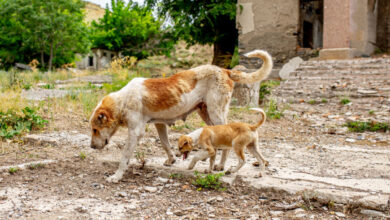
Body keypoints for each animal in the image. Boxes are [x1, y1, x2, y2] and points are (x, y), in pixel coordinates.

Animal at [90, 49, 272, 182]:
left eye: (94, 130)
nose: (91, 147)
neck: (124, 99)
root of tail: (225, 70)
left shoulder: (135, 132)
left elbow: (125, 156)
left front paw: (116, 176)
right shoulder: (159, 124)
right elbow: (165, 143)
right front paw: (171, 160)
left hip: (216, 112)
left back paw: (220, 165)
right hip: (205, 113)